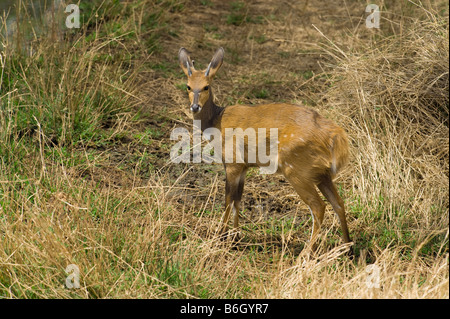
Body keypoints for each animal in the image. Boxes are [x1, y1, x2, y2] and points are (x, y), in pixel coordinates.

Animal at [178, 47, 352, 251]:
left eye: (206, 86)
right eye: (188, 86)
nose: (195, 106)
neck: (216, 120)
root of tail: (335, 136)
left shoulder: (233, 162)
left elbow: (228, 200)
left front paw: (220, 237)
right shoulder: (244, 166)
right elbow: (238, 200)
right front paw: (235, 238)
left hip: (296, 169)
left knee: (318, 206)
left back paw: (306, 253)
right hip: (321, 173)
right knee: (339, 203)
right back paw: (348, 247)